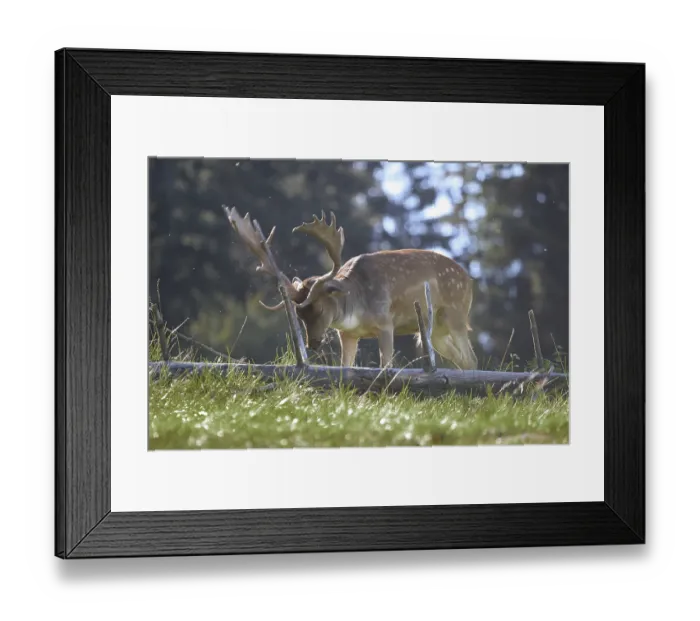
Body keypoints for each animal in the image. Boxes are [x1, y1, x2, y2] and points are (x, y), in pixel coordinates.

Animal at [223, 206, 478, 370]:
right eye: (299, 314)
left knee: (471, 359)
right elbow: (345, 368)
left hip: (456, 313)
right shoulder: (347, 334)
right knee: (462, 360)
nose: (312, 344)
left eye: (320, 308)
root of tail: (469, 279)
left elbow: (386, 367)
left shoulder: (386, 323)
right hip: (434, 331)